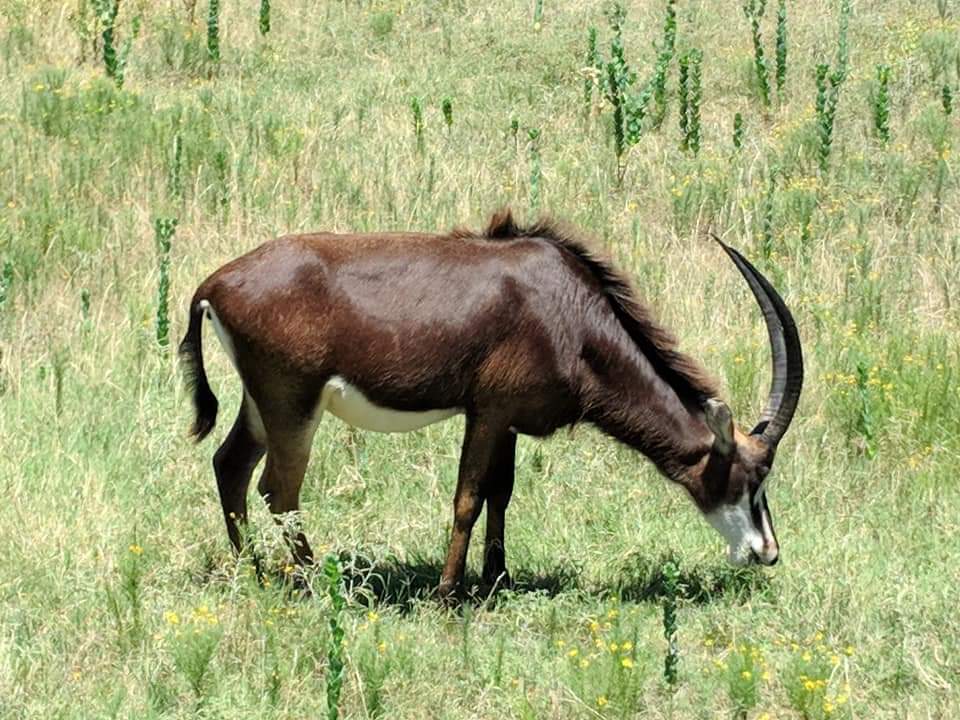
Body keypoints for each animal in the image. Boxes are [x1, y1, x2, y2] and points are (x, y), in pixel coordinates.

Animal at [179, 209, 803, 596]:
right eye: (752, 478)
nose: (768, 553)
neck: (571, 315)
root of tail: (215, 284)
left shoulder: (508, 421)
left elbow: (501, 494)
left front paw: (495, 579)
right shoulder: (488, 410)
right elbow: (469, 498)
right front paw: (448, 594)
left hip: (262, 404)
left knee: (231, 466)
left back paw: (251, 570)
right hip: (293, 404)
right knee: (278, 490)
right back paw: (317, 584)